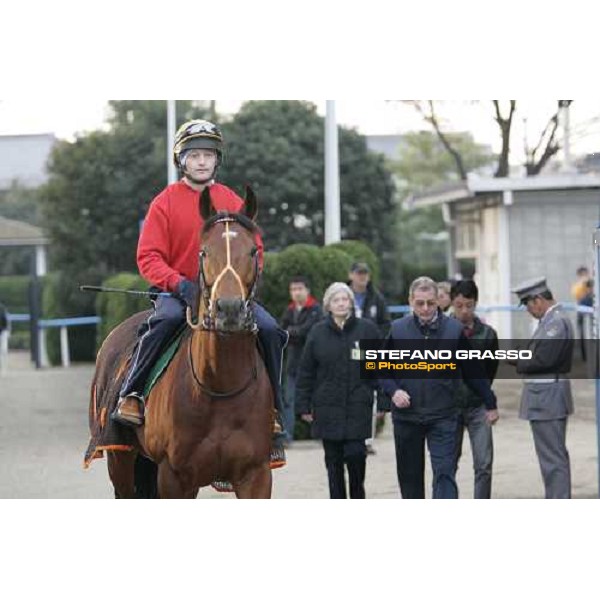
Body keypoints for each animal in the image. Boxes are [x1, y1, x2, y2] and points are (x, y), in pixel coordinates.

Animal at [89, 185, 274, 500]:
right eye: (204, 251)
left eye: (253, 251)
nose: (229, 310)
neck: (219, 385)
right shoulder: (174, 476)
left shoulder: (256, 475)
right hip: (119, 458)